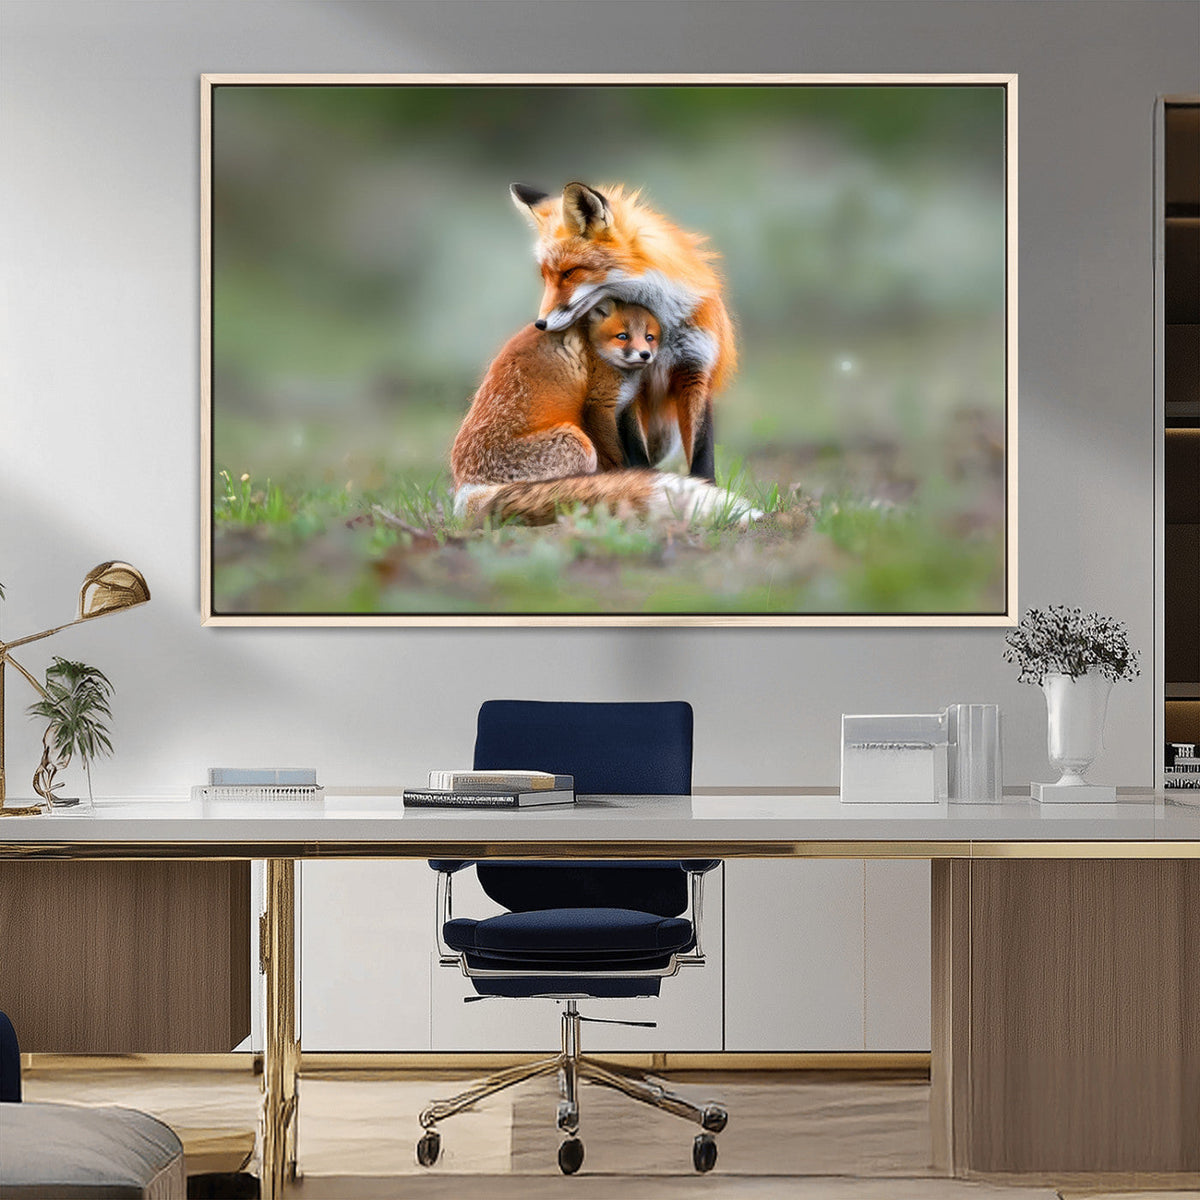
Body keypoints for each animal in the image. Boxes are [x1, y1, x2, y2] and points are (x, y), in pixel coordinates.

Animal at [451, 300, 756, 526]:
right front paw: (629, 479)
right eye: (622, 336)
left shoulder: (627, 407)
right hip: (578, 443)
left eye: (649, 337)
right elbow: (618, 457)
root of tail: (467, 489)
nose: (645, 355)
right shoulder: (599, 406)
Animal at [510, 181, 737, 483]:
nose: (540, 324)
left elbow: (702, 453)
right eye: (545, 277)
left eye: (569, 273)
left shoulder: (695, 370)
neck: (662, 328)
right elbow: (636, 451)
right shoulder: (631, 385)